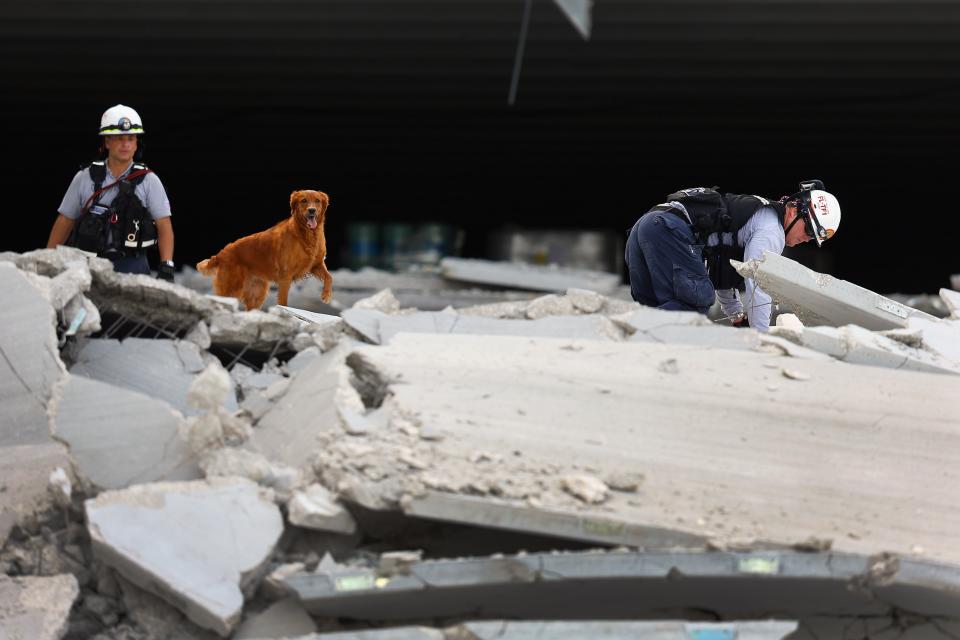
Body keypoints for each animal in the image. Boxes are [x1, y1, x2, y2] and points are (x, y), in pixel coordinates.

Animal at [196, 190, 334, 310]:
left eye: (317, 201)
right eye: (304, 200)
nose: (312, 210)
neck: (306, 234)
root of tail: (220, 254)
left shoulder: (316, 264)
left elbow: (329, 276)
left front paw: (326, 295)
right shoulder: (286, 276)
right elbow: (283, 302)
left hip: (257, 293)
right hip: (231, 287)